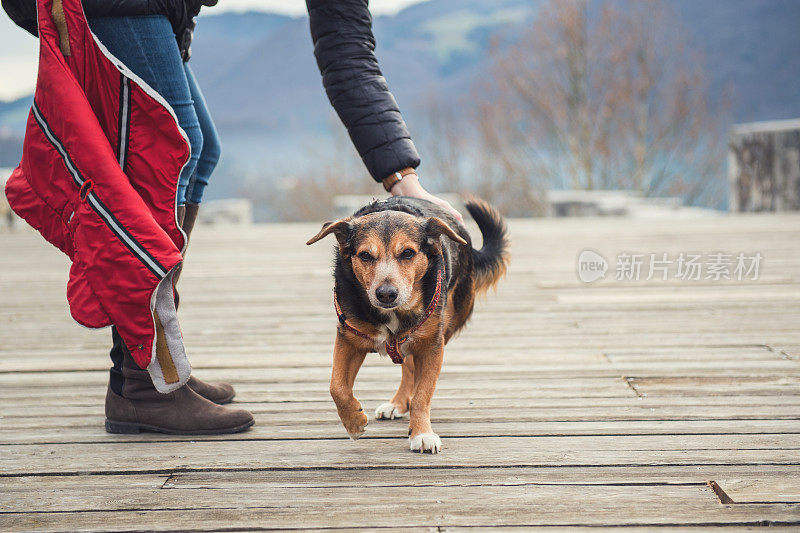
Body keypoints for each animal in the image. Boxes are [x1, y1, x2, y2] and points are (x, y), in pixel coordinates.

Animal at [304, 196, 510, 454]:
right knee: (407, 368)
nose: (386, 294)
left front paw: (422, 433)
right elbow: (337, 387)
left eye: (408, 253)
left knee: (411, 369)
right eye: (365, 256)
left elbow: (422, 394)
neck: (392, 313)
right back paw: (397, 404)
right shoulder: (348, 338)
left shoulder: (432, 345)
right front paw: (354, 422)